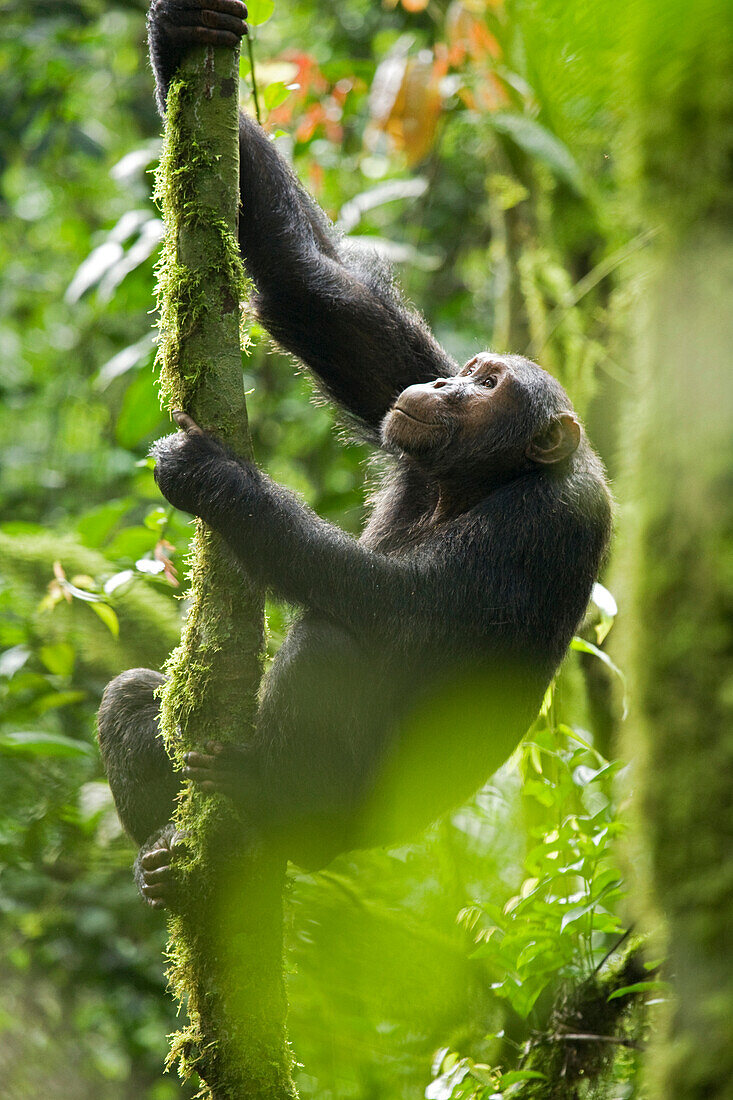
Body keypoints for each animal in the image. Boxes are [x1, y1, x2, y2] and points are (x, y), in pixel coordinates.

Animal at [96, 0, 611, 906]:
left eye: (487, 387)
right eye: (468, 371)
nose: (443, 385)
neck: (478, 478)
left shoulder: (545, 519)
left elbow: (399, 607)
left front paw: (220, 479)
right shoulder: (398, 407)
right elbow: (316, 291)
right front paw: (181, 31)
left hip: (346, 823)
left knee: (332, 638)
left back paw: (268, 798)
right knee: (132, 695)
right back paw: (167, 856)